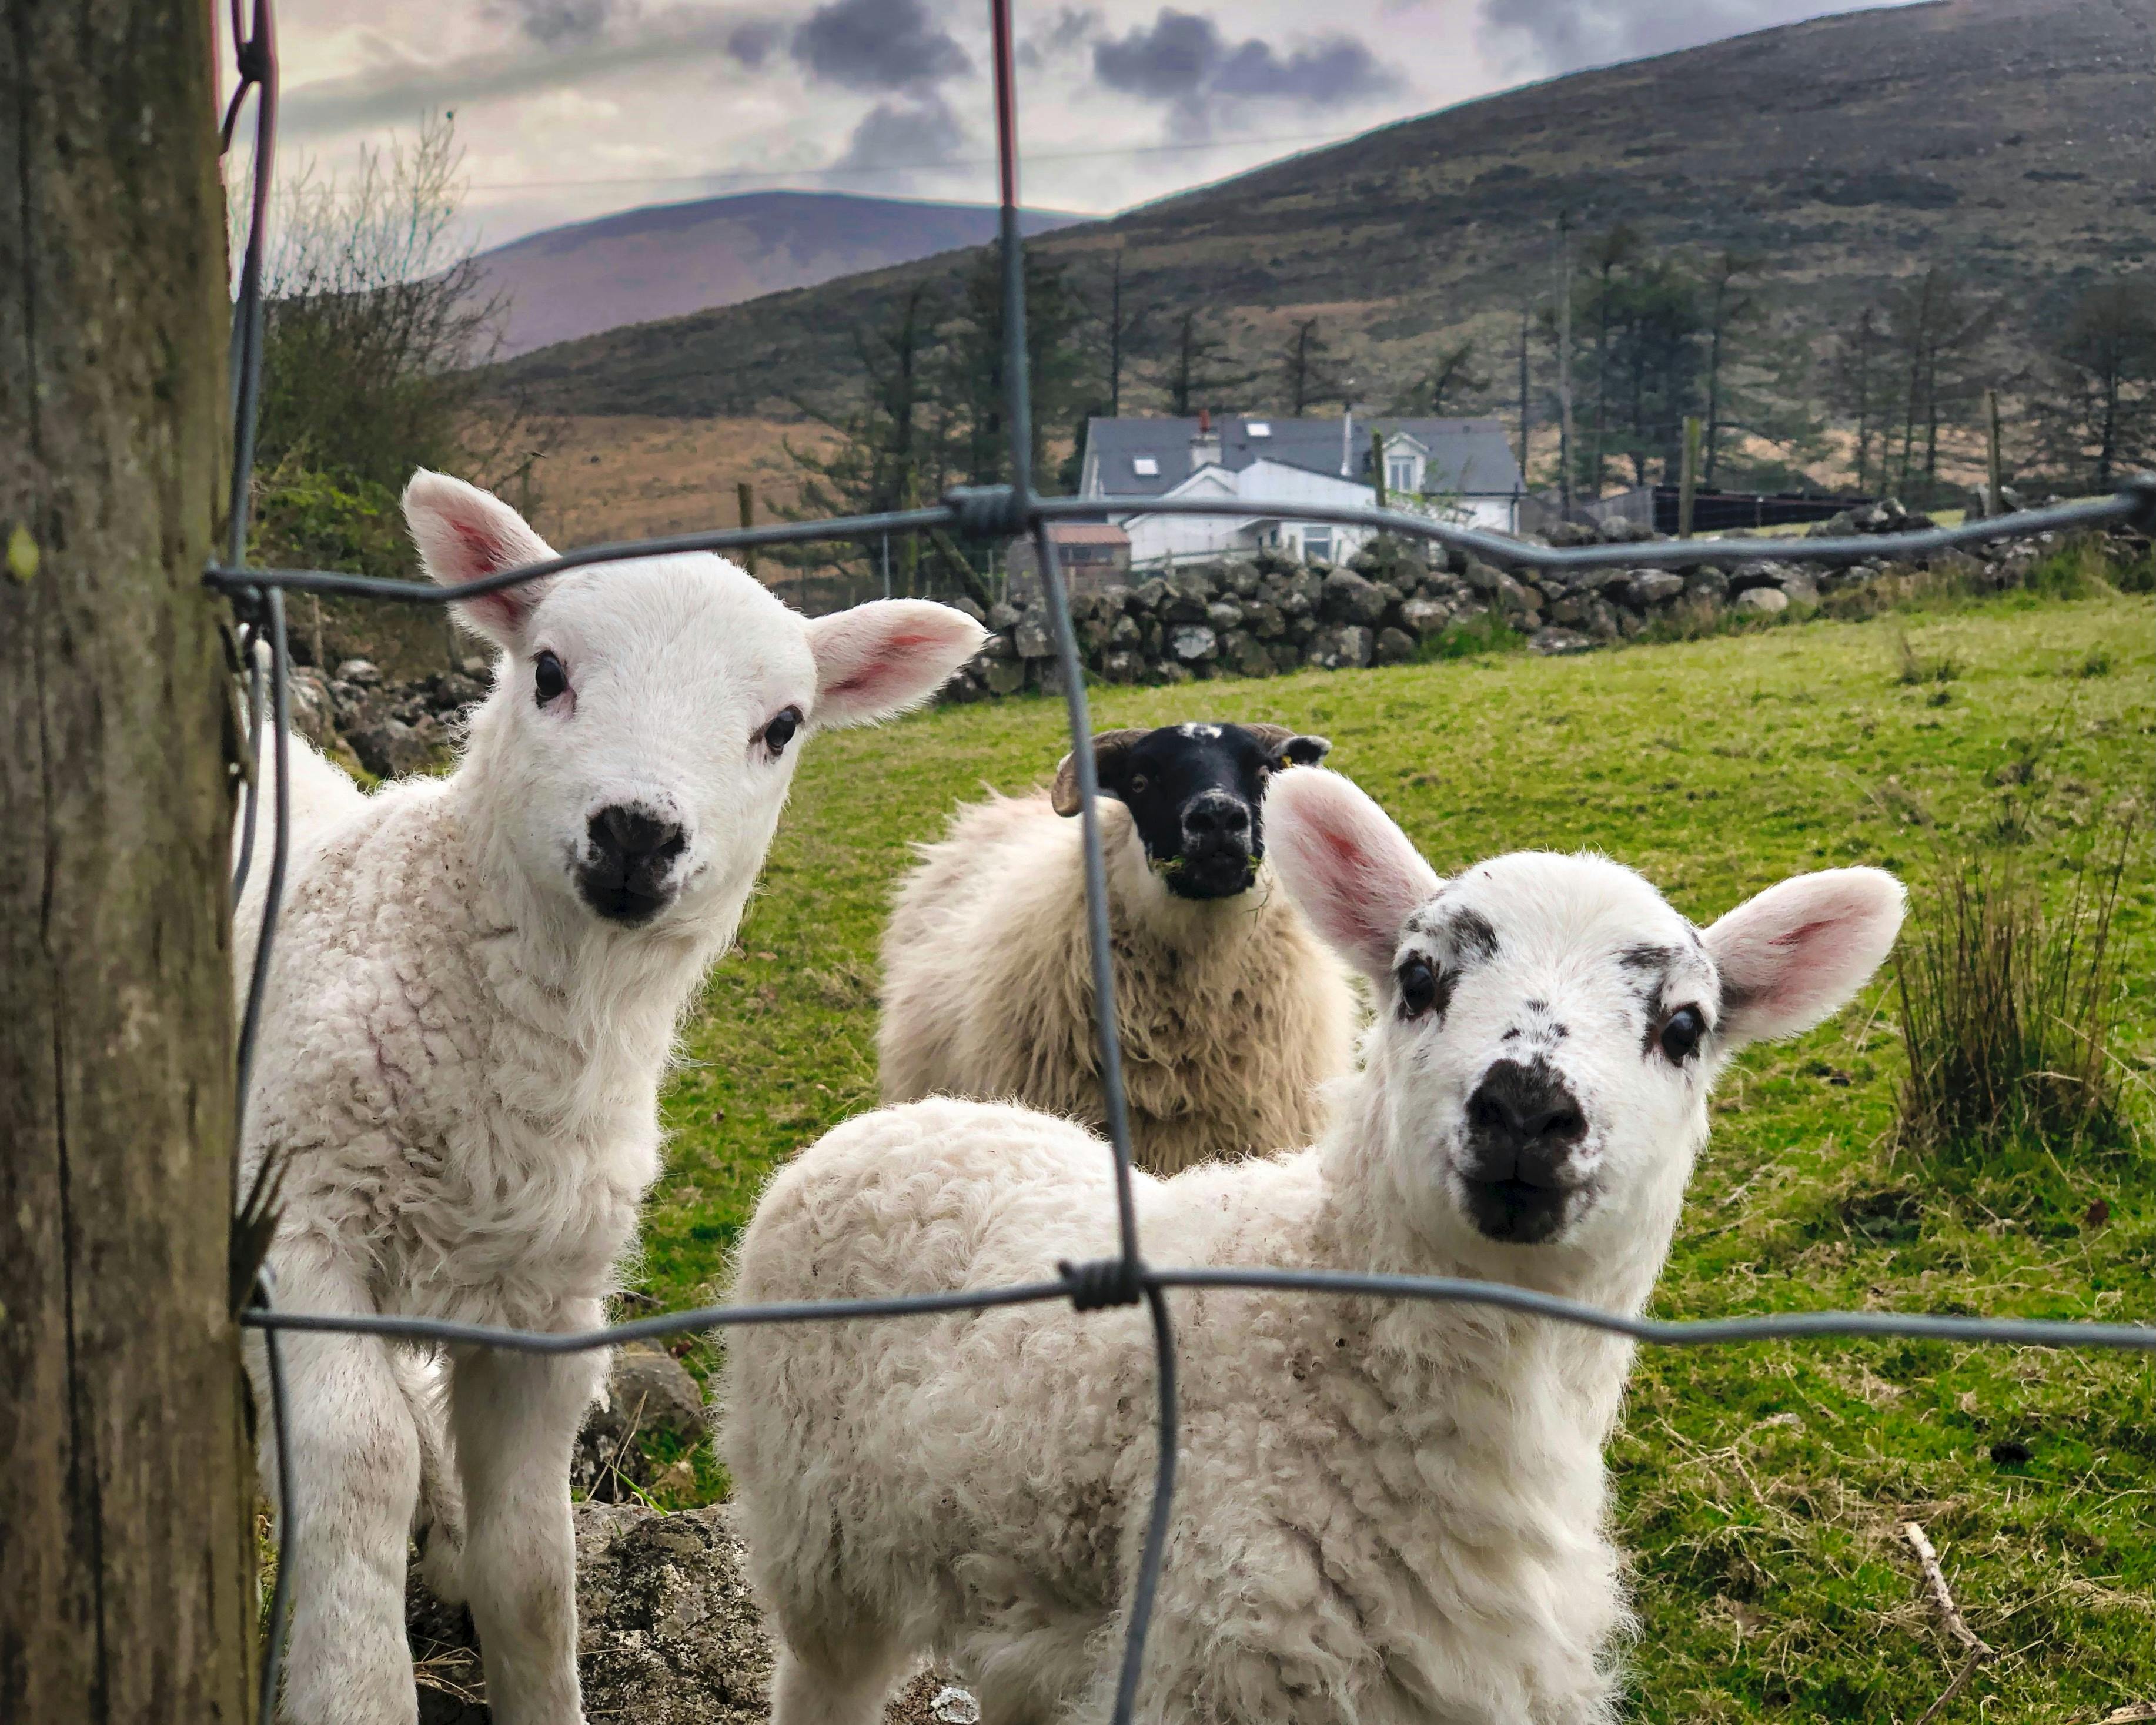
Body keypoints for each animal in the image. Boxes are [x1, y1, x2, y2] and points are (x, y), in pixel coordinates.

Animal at [233, 469, 984, 1725]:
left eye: (782, 725)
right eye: (546, 670)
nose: (638, 829)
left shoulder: (546, 1305)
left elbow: (534, 1563)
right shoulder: (305, 1224)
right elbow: (363, 1463)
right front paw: (356, 1685)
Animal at [724, 768, 1905, 1725]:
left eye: (1684, 1025)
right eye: (1417, 979)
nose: (1525, 1106)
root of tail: (894, 1121)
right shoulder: (1212, 1664)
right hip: (817, 1551)